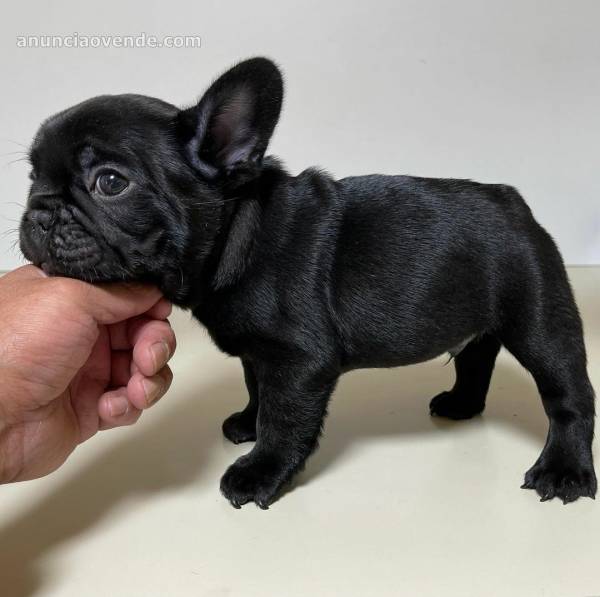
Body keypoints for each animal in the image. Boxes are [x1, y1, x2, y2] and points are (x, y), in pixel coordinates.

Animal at [19, 57, 596, 508]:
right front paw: (248, 423)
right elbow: (258, 389)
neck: (241, 238)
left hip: (538, 315)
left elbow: (285, 418)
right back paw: (460, 405)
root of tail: (514, 204)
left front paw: (259, 471)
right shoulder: (261, 354)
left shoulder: (300, 361)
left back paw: (564, 470)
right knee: (476, 356)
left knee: (568, 394)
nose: (39, 213)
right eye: (31, 177)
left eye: (110, 182)